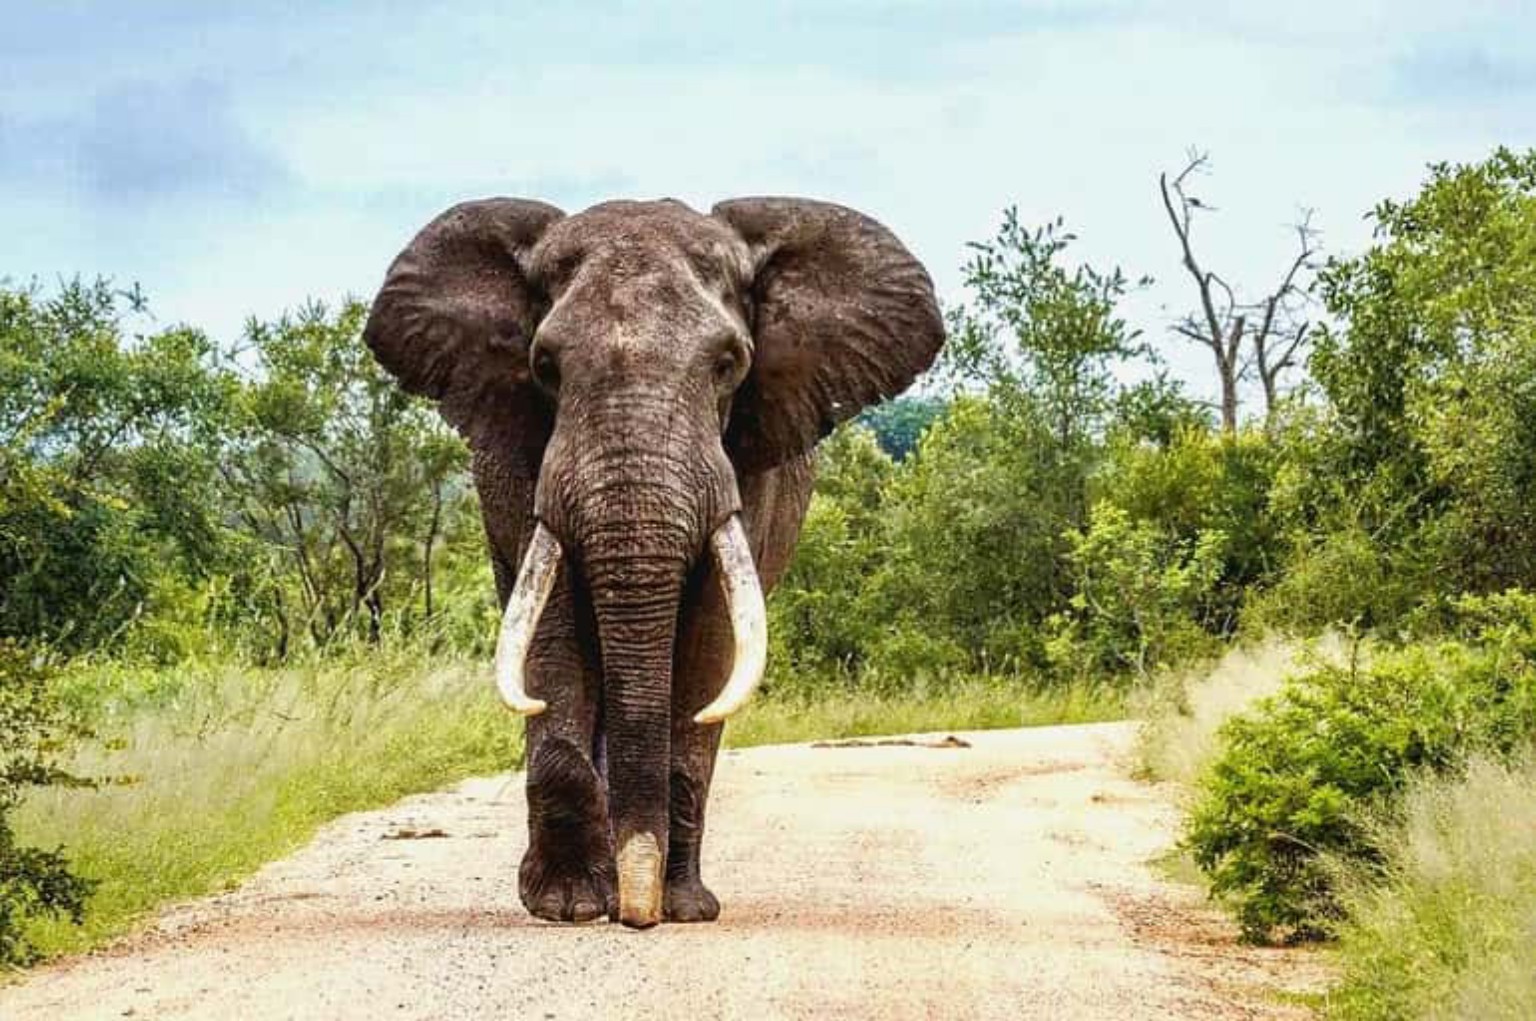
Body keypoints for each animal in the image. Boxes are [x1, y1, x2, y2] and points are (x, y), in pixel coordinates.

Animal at [363, 196, 944, 928]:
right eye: (545, 365)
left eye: (729, 363)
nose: (638, 914)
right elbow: (553, 632)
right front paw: (570, 905)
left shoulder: (743, 466)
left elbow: (707, 645)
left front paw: (680, 906)